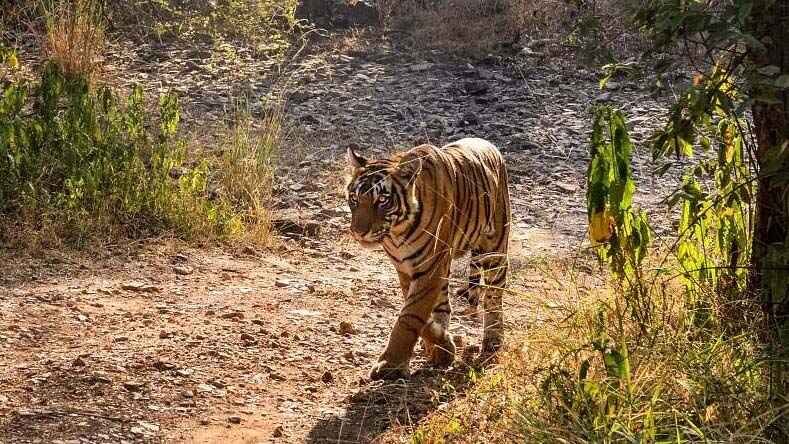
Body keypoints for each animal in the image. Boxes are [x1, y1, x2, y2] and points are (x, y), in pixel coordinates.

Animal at [344, 137, 510, 380]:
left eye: (382, 200)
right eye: (354, 199)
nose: (358, 232)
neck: (397, 232)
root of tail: (489, 145)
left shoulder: (429, 267)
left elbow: (410, 316)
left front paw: (390, 364)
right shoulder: (406, 269)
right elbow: (416, 312)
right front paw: (442, 346)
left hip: (495, 249)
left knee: (493, 297)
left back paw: (492, 339)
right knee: (444, 305)